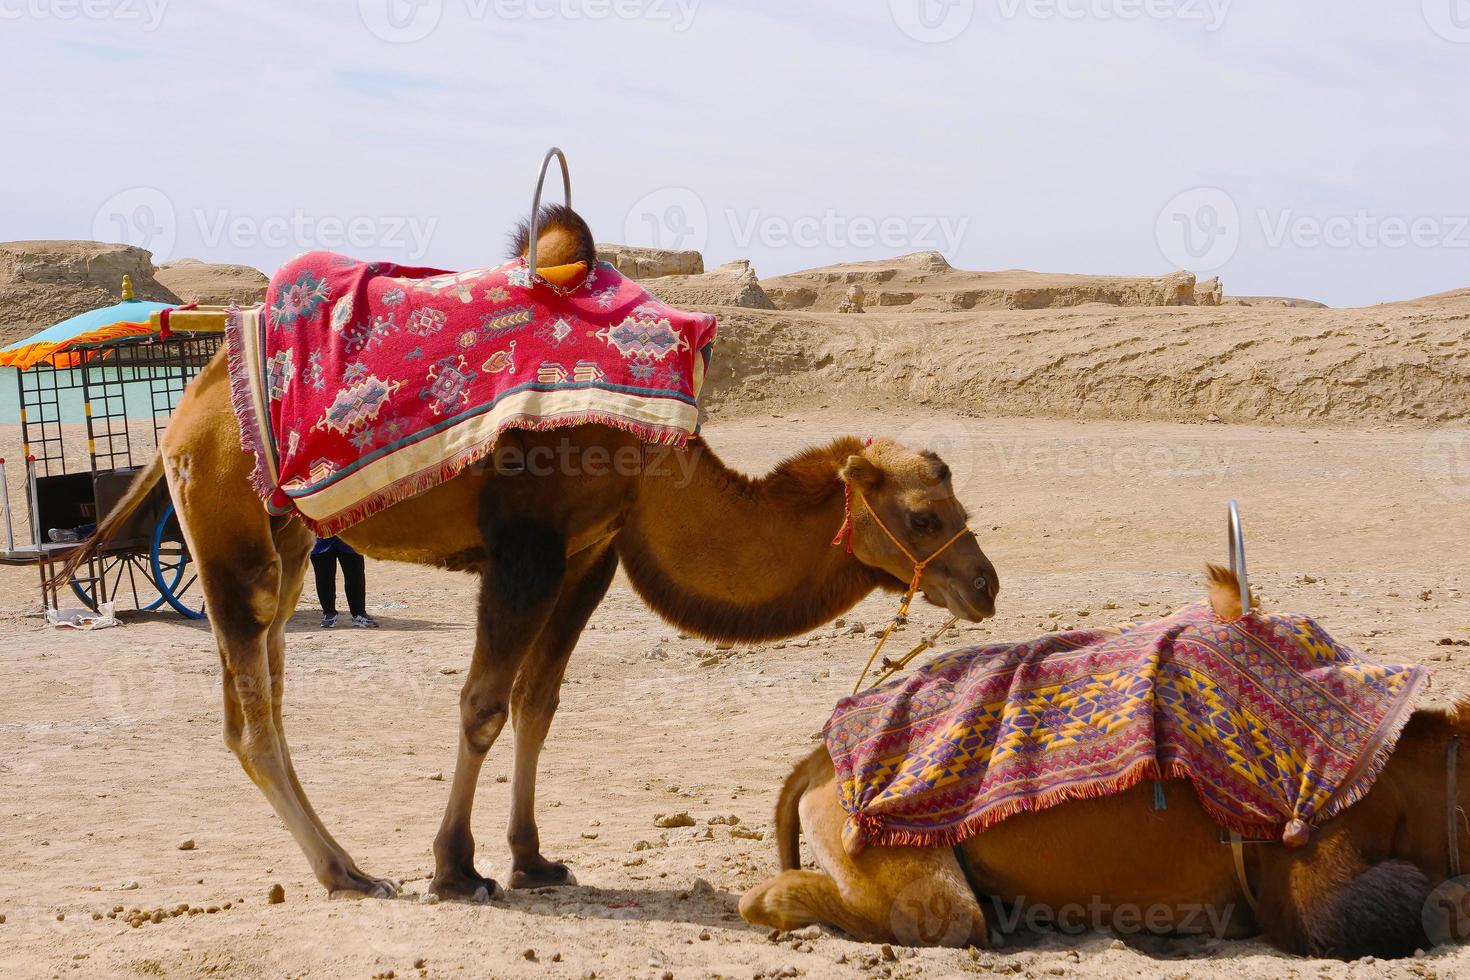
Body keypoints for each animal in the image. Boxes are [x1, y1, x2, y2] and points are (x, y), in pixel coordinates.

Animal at [60, 207, 999, 905]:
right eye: (922, 515)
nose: (984, 583)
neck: (659, 469)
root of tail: (188, 408)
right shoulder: (528, 547)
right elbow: (482, 703)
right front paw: (455, 868)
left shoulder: (591, 552)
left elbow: (536, 704)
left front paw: (532, 859)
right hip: (230, 539)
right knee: (255, 719)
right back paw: (349, 871)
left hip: (285, 546)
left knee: (262, 699)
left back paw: (343, 863)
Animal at [746, 567, 1458, 957]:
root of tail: (820, 757)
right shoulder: (1302, 851)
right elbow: (1375, 910)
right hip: (891, 853)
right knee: (930, 916)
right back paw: (771, 904)